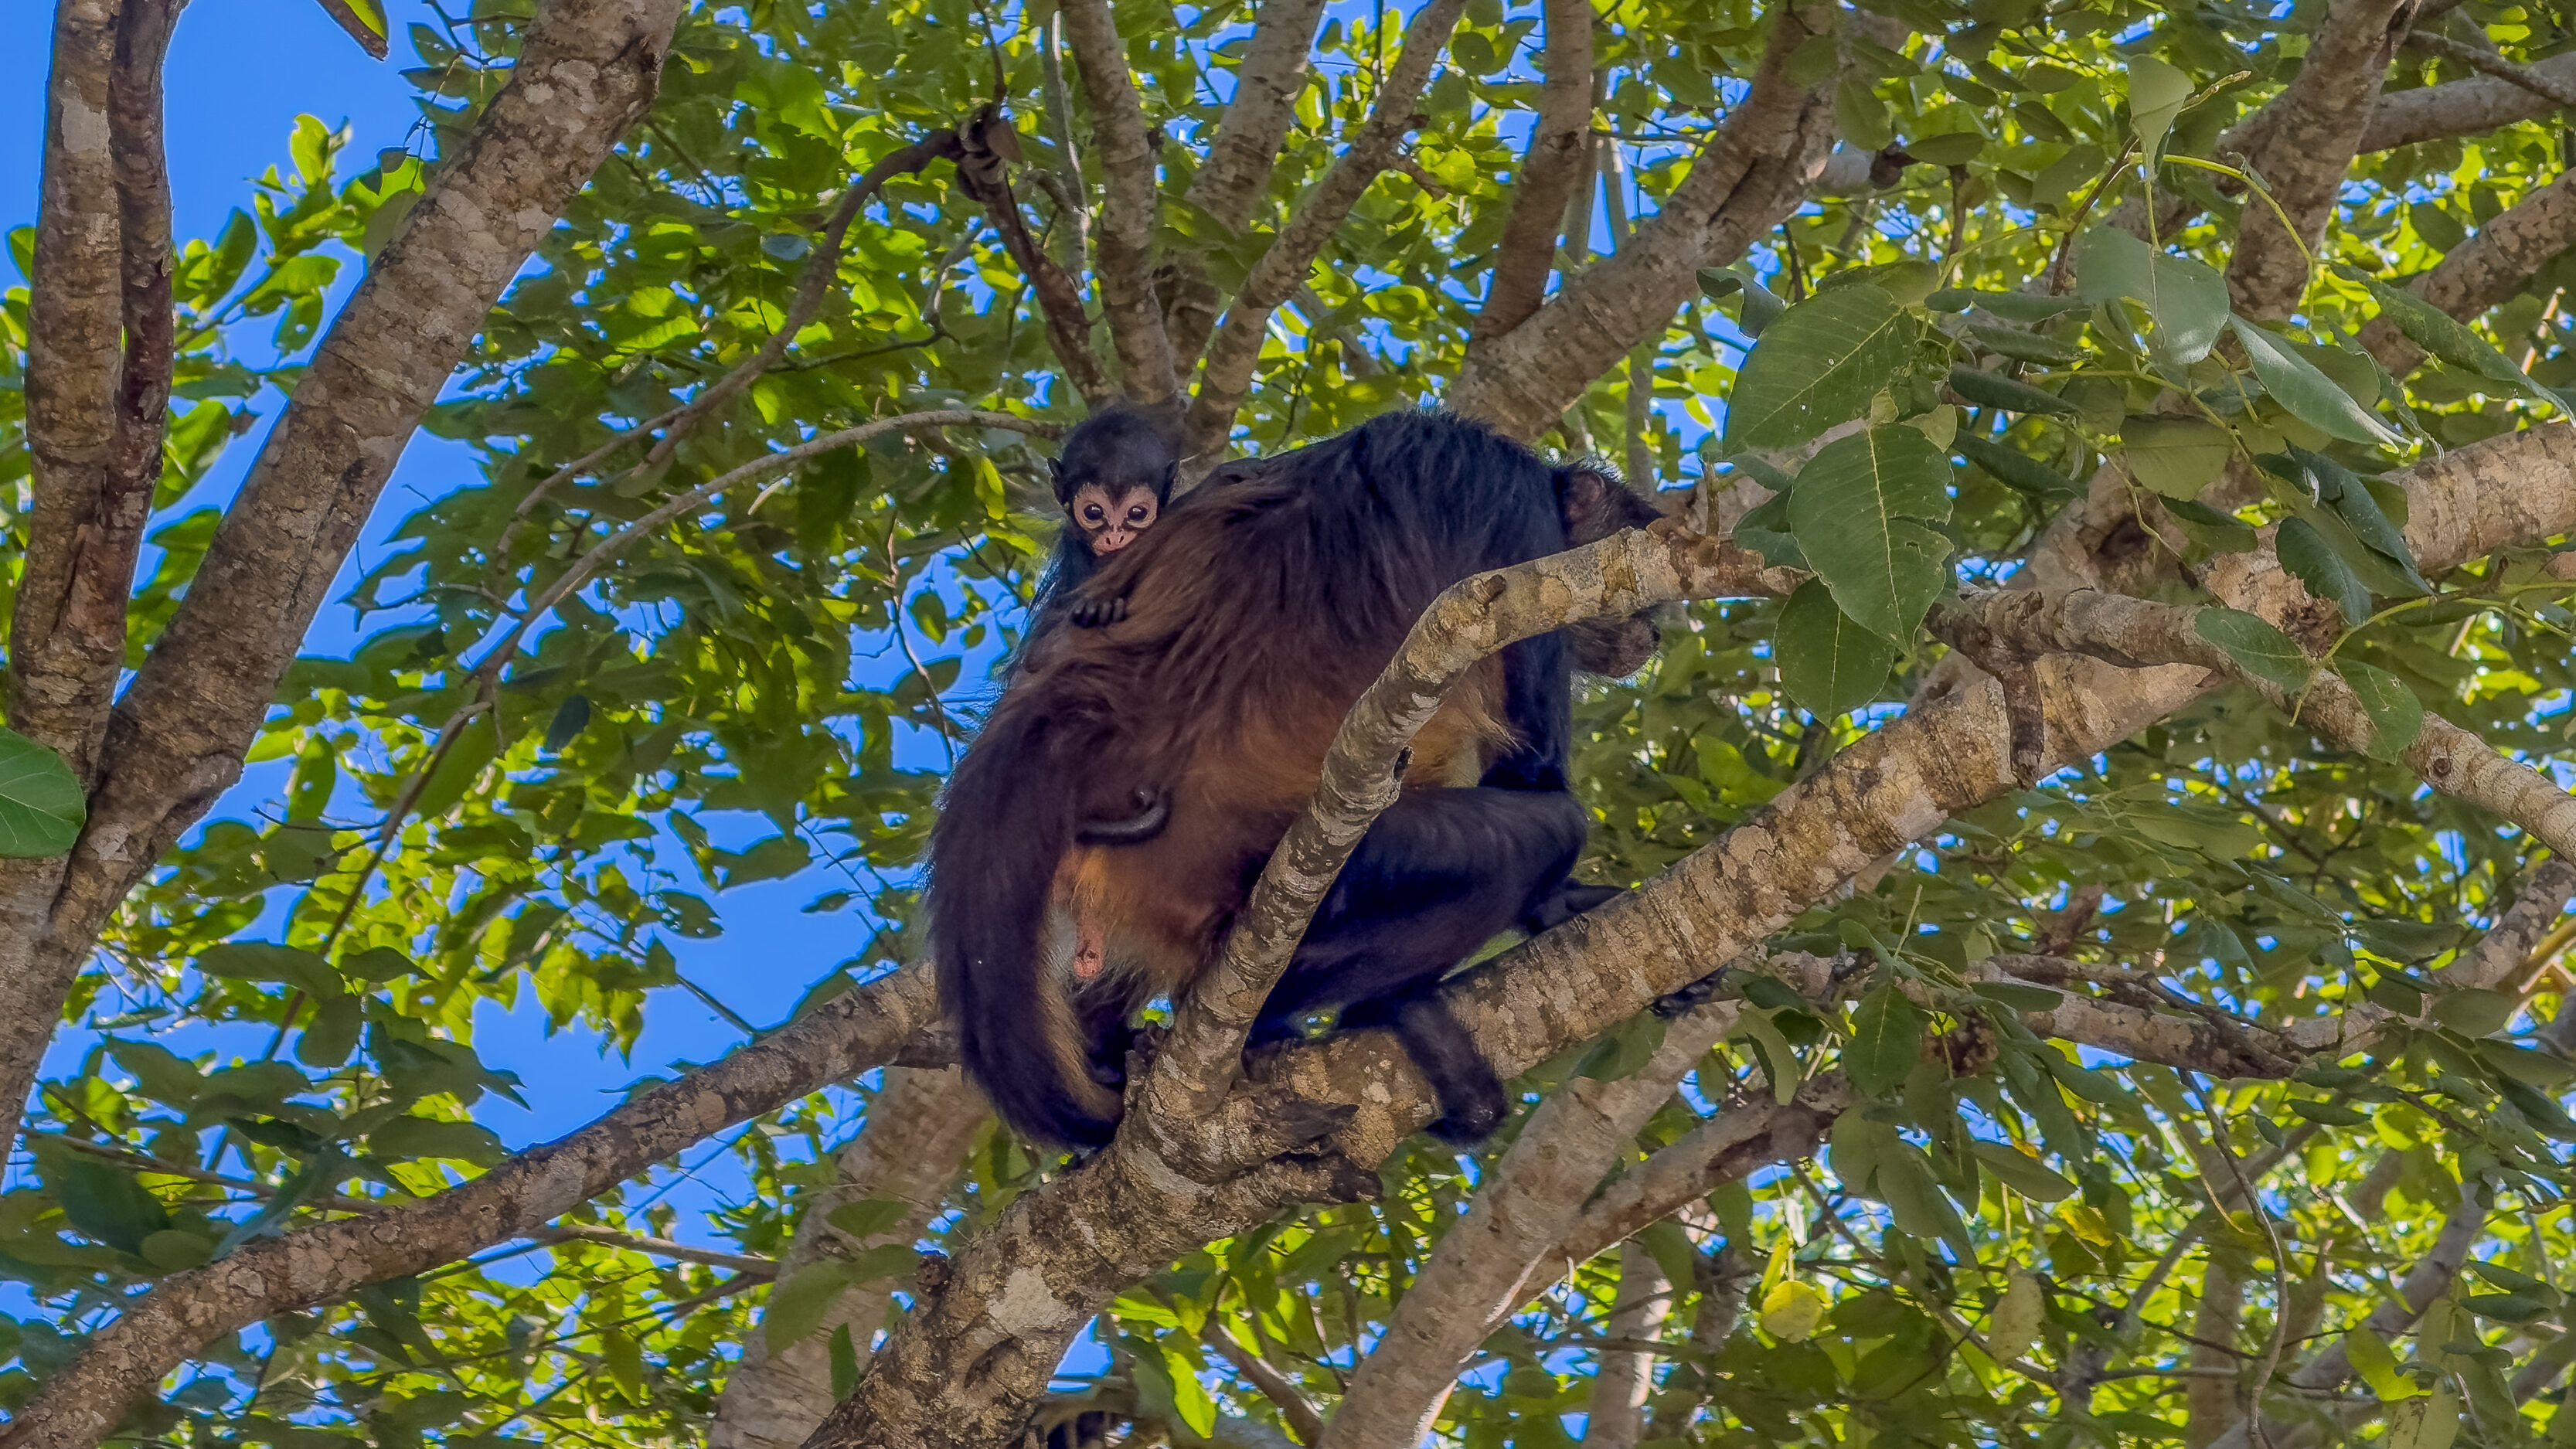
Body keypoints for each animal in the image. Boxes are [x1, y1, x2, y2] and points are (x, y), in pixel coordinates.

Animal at [938, 414, 1659, 1153]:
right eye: (1638, 597)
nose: (1654, 633)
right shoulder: (1522, 531)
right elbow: (1534, 774)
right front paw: (1560, 902)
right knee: (1541, 833)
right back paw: (1335, 1013)